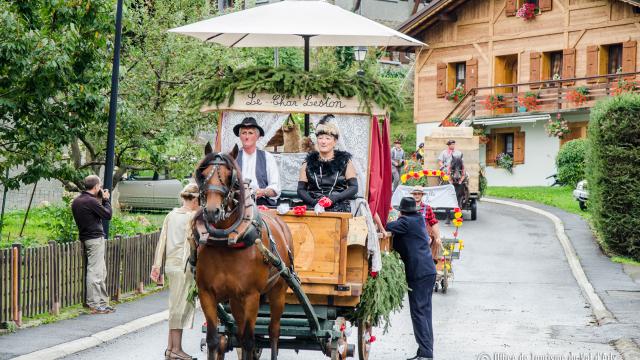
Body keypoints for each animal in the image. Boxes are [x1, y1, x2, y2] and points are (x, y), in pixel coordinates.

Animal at [190, 145, 296, 358]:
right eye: (203, 174)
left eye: (229, 175)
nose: (212, 211)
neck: (224, 242)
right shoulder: (207, 293)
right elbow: (213, 339)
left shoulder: (251, 296)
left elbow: (248, 341)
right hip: (235, 300)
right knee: (239, 333)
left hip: (278, 292)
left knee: (274, 331)